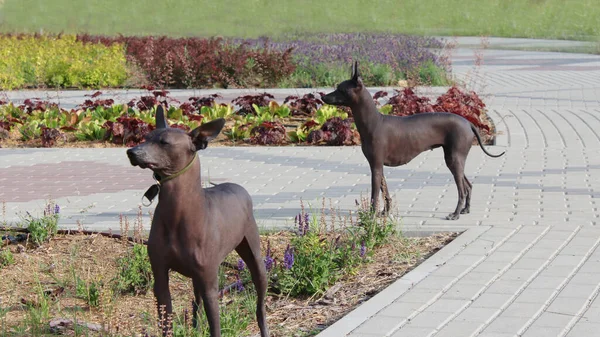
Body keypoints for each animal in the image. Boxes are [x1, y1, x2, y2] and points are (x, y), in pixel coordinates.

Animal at [125, 104, 268, 334]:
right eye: (146, 138)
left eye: (164, 142)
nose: (131, 152)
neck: (177, 214)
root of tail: (237, 186)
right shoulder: (161, 279)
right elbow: (166, 324)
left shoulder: (210, 284)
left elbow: (215, 328)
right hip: (196, 278)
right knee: (196, 304)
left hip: (254, 257)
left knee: (260, 305)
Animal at [322, 61, 504, 219]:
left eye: (340, 89)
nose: (323, 97)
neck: (374, 121)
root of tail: (468, 123)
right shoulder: (378, 165)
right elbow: (385, 191)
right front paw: (385, 213)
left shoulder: (376, 166)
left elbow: (375, 195)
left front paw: (371, 216)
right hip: (454, 159)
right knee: (468, 185)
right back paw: (466, 210)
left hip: (454, 159)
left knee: (462, 190)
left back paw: (456, 214)